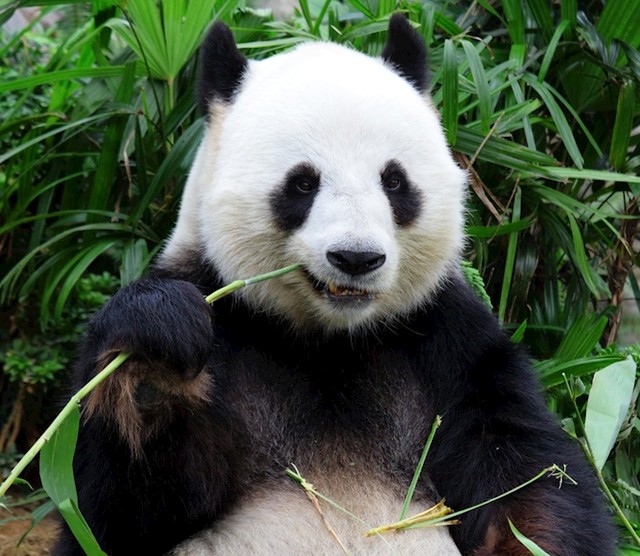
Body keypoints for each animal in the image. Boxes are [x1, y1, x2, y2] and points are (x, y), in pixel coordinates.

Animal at [53, 14, 616, 556]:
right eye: (303, 183)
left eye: (394, 181)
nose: (356, 258)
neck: (329, 340)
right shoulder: (224, 319)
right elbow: (116, 512)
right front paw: (155, 357)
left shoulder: (447, 341)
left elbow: (525, 479)